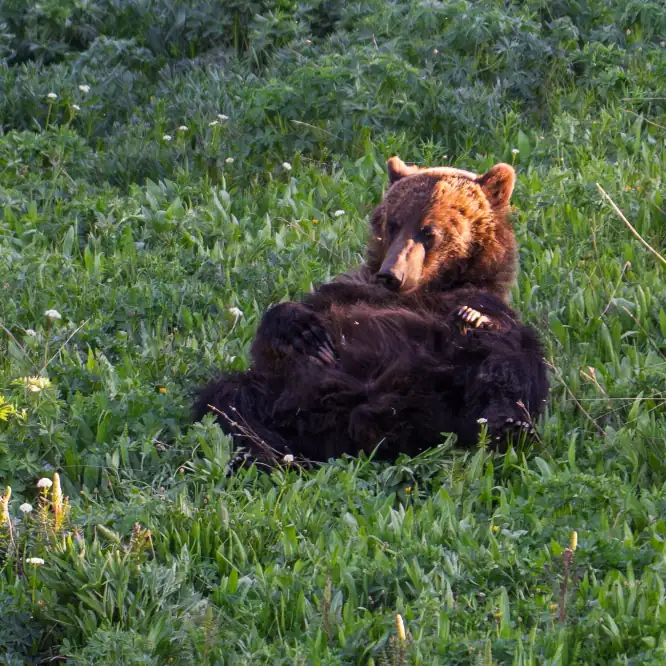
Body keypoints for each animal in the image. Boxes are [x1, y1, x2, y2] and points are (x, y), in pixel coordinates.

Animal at [193, 156, 550, 467]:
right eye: (393, 223)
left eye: (429, 231)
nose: (392, 274)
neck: (430, 288)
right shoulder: (348, 289)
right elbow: (280, 328)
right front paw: (306, 332)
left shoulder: (484, 301)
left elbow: (507, 345)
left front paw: (471, 318)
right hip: (278, 387)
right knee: (227, 400)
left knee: (504, 366)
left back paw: (508, 427)